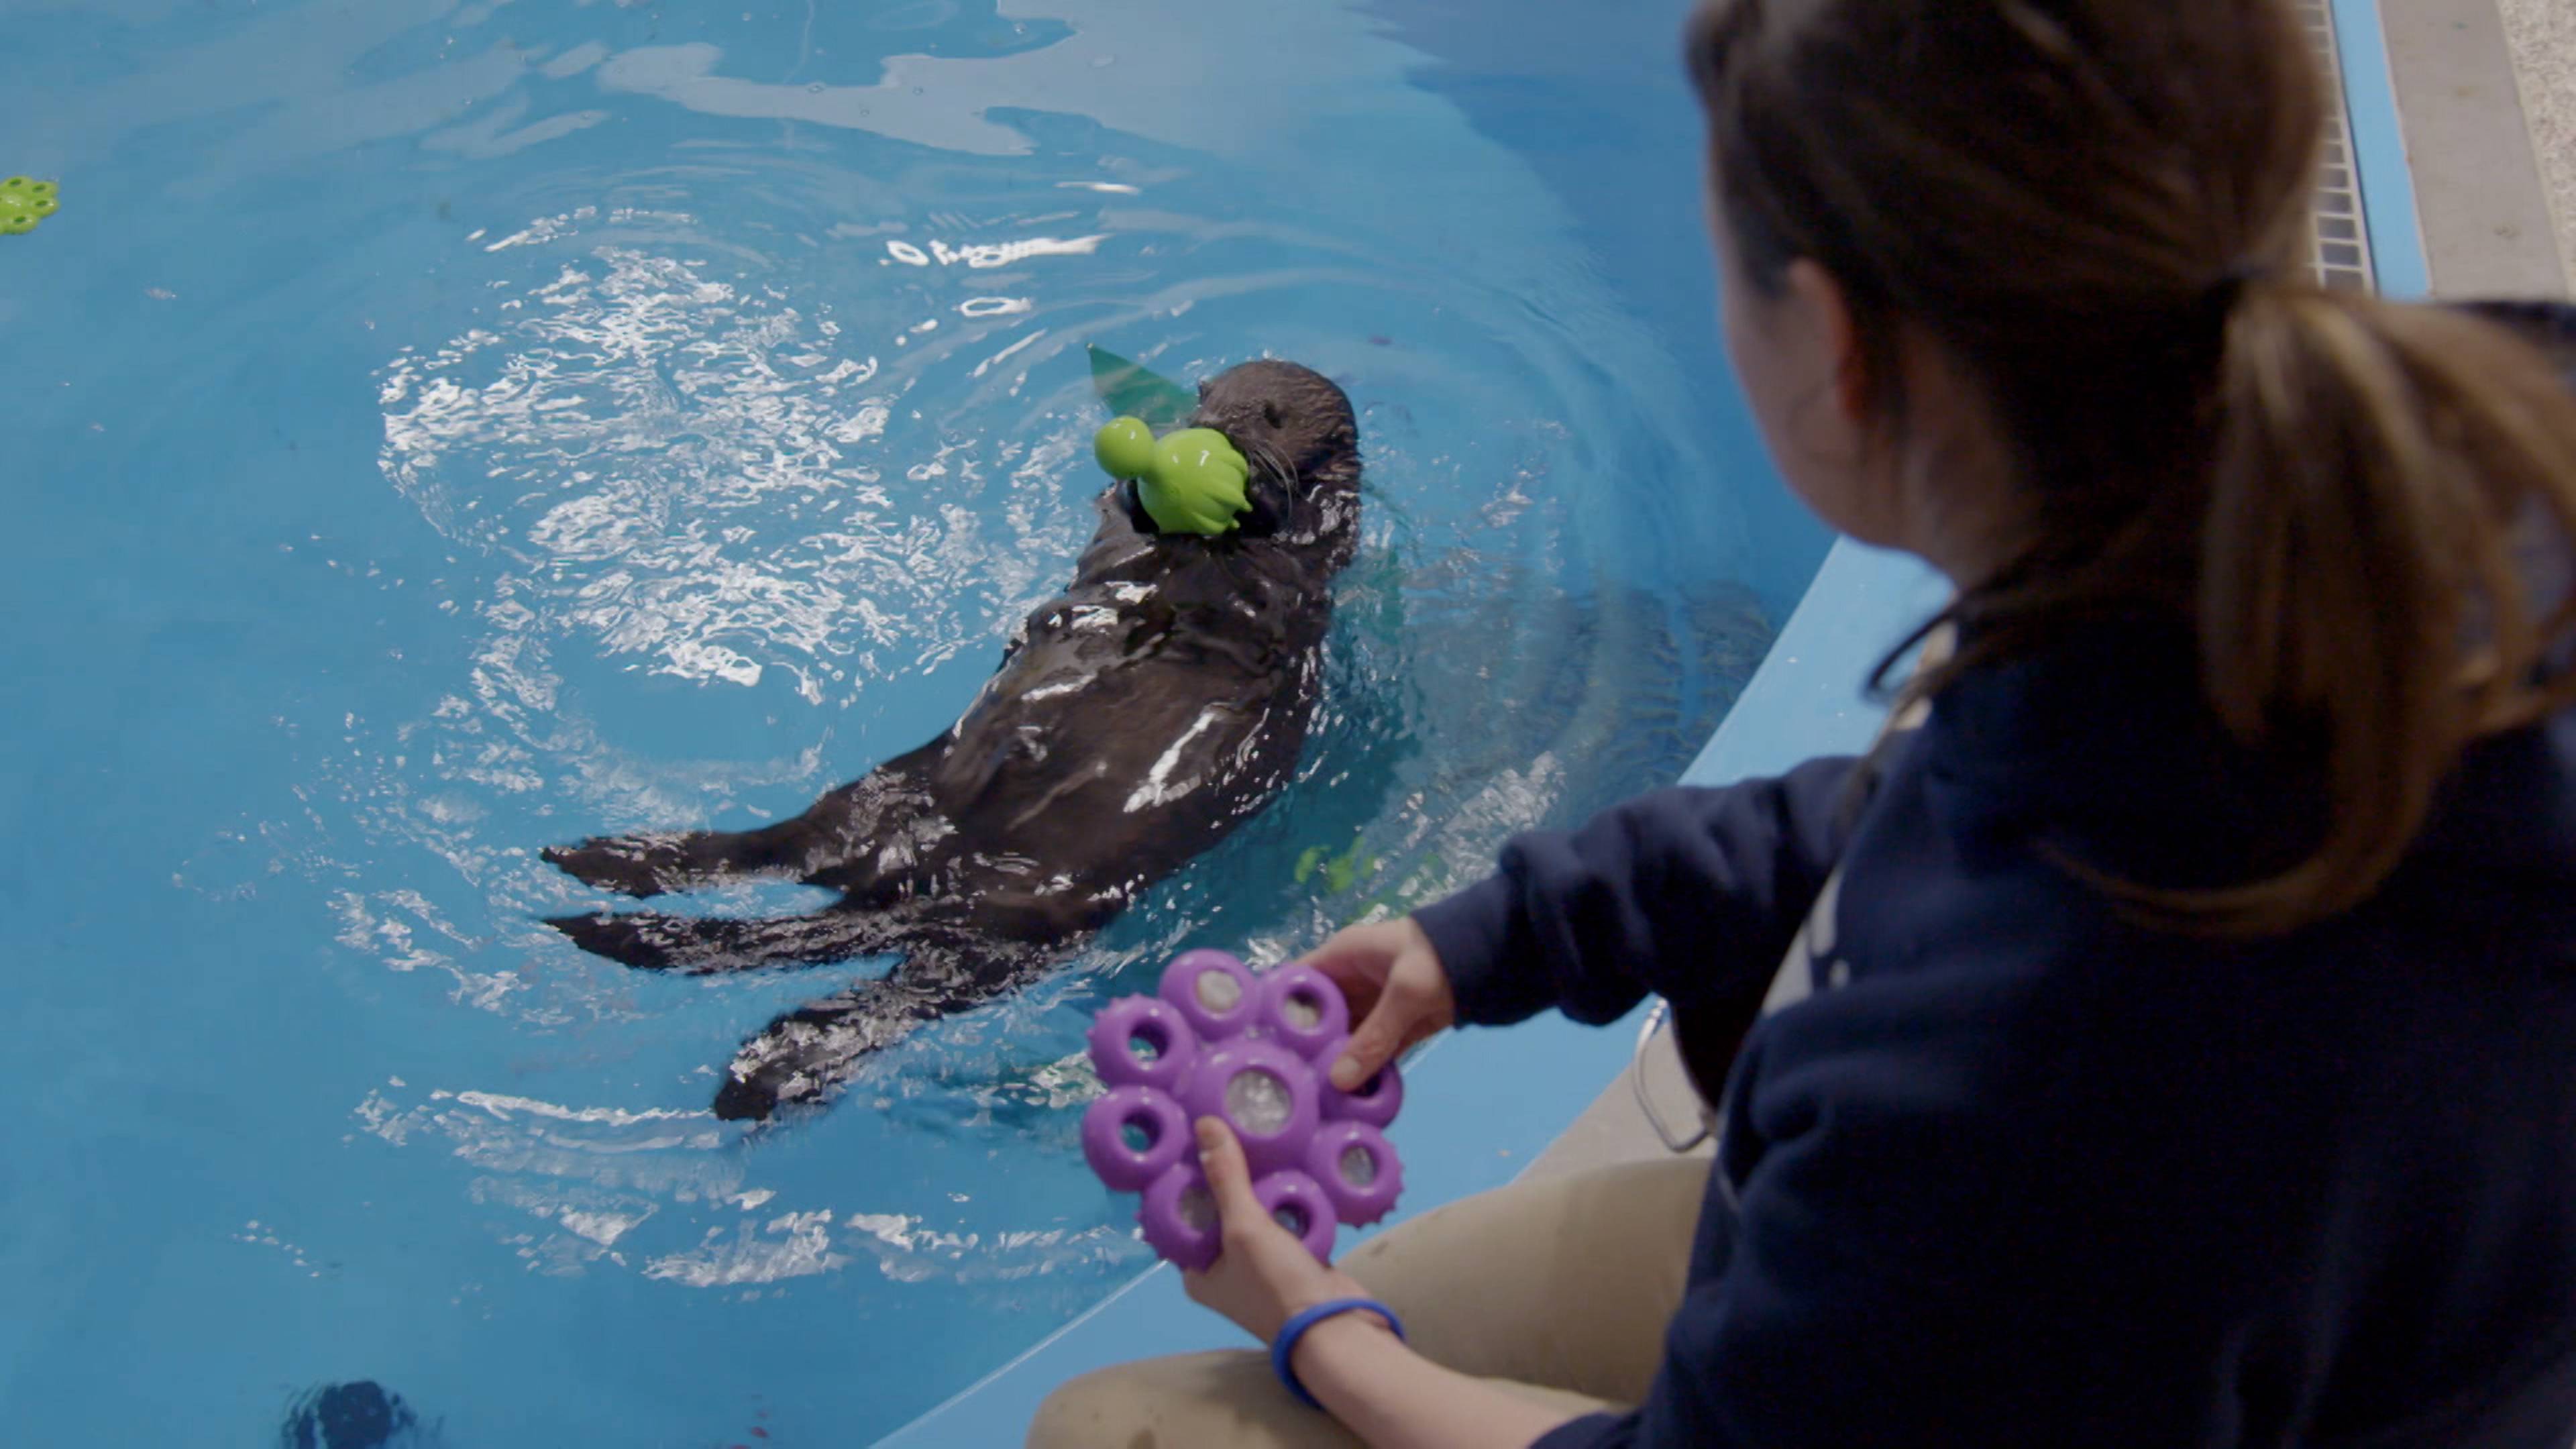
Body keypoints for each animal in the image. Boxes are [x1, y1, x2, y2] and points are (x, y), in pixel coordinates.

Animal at [544, 360, 1362, 1121]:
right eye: (1204, 395)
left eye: (1271, 414)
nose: (1216, 431)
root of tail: (923, 875)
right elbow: (1122, 526)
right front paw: (1147, 489)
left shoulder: (1312, 558)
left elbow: (1287, 554)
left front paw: (1254, 498)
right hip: (884, 798)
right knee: (777, 851)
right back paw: (617, 864)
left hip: (1017, 930)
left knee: (898, 992)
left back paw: (766, 1066)